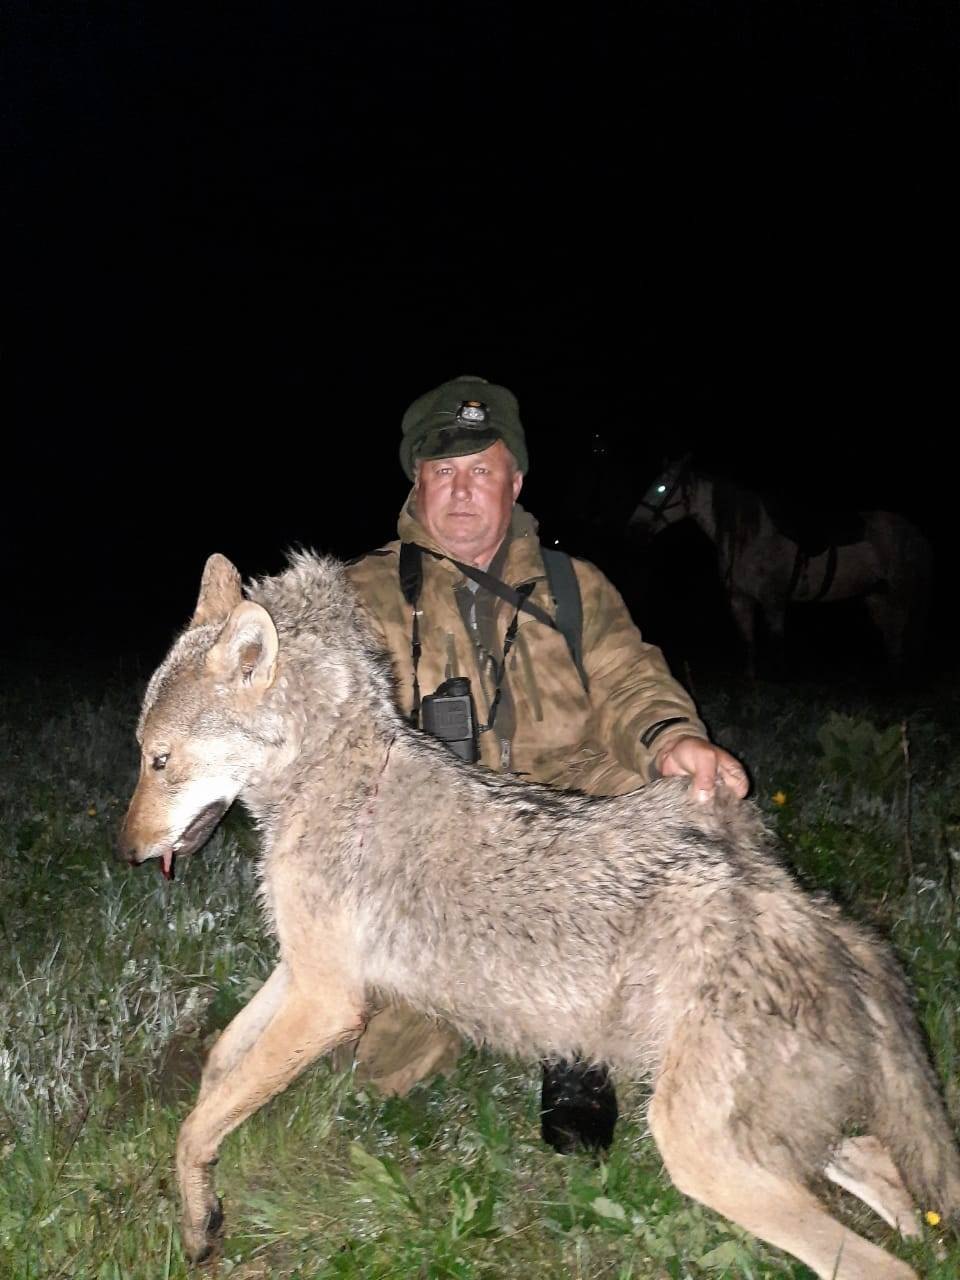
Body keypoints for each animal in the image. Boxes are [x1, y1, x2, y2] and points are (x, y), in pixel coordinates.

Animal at [120, 552, 960, 1280]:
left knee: (886, 1262)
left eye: (159, 760)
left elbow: (193, 1125)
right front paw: (209, 1199)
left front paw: (195, 1225)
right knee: (897, 1190)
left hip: (704, 1154)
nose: (126, 851)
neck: (327, 777)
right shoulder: (300, 973)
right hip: (782, 1141)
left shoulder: (328, 1001)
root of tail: (813, 911)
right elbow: (218, 1070)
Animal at [627, 460, 936, 680]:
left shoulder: (773, 601)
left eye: (662, 488)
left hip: (900, 593)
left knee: (901, 635)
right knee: (893, 638)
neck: (748, 536)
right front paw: (752, 686)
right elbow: (749, 643)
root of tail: (913, 532)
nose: (635, 530)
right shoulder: (740, 600)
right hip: (876, 596)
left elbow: (776, 646)